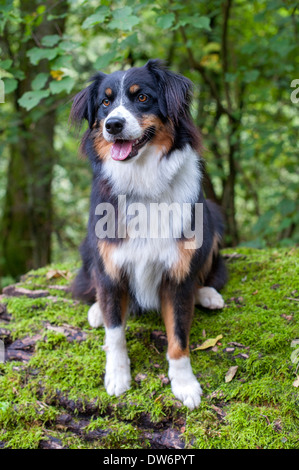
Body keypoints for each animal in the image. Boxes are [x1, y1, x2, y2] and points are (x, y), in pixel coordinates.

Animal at [71, 59, 229, 408]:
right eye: (105, 103)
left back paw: (207, 294)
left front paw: (184, 384)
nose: (113, 125)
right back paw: (96, 310)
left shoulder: (177, 273)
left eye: (142, 97)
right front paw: (117, 376)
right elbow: (115, 332)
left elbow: (179, 337)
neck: (143, 181)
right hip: (90, 244)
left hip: (211, 217)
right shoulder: (111, 266)